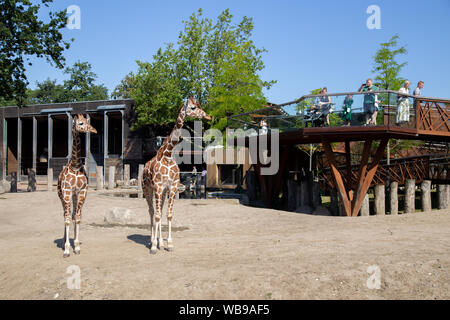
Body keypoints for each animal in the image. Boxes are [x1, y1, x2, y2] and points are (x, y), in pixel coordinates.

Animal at [57, 113, 96, 258]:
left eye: (87, 121)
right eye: (80, 123)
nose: (94, 130)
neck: (75, 165)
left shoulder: (82, 191)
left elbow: (77, 217)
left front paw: (77, 246)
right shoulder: (67, 191)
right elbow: (67, 218)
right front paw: (67, 250)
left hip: (73, 196)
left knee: (72, 214)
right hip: (62, 196)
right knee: (65, 214)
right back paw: (64, 241)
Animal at [142, 96, 211, 254]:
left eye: (199, 105)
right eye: (193, 107)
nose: (207, 116)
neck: (167, 155)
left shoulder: (172, 187)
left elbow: (168, 214)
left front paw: (169, 244)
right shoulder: (158, 186)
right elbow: (157, 215)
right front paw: (154, 246)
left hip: (162, 192)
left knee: (159, 211)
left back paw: (160, 242)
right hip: (148, 189)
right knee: (152, 211)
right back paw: (152, 241)